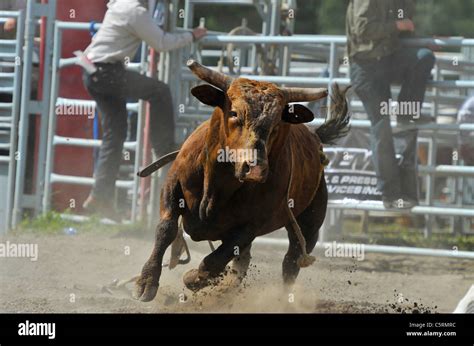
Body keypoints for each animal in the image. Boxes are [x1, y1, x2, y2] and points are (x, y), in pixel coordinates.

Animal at [135, 60, 350, 302]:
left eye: (276, 125)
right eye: (234, 113)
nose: (255, 169)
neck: (219, 183)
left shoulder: (252, 225)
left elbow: (217, 258)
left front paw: (194, 278)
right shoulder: (173, 189)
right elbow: (166, 229)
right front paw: (146, 281)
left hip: (310, 222)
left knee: (292, 259)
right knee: (245, 259)